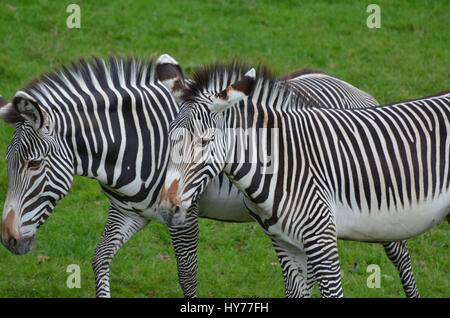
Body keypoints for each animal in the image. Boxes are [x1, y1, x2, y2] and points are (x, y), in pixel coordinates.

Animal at [156, 60, 448, 296]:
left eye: (204, 142)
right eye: (168, 137)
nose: (167, 209)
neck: (282, 161)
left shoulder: (322, 237)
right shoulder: (285, 243)